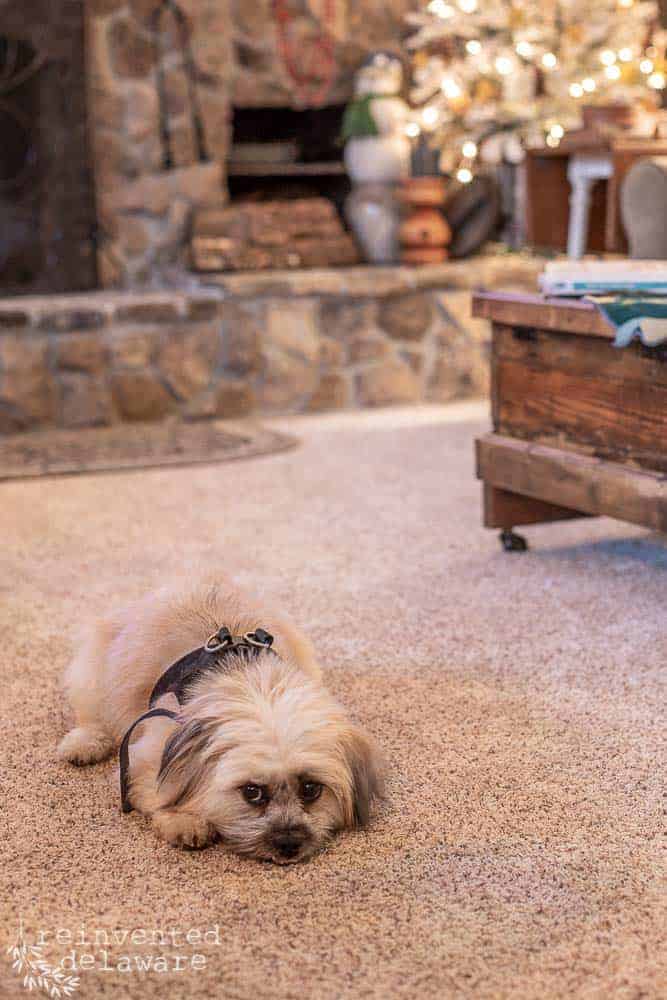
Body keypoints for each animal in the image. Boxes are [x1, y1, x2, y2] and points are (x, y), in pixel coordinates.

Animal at [58, 584, 380, 864]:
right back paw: (84, 744)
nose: (288, 843)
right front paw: (185, 821)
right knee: (93, 717)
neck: (250, 681)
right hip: (94, 679)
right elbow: (161, 790)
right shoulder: (146, 755)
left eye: (311, 789)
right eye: (252, 793)